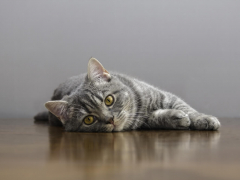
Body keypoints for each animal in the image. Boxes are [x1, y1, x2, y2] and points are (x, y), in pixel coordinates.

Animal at [33, 58, 219, 132]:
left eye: (109, 100)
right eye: (89, 119)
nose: (110, 120)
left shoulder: (165, 96)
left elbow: (186, 108)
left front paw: (203, 119)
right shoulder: (144, 121)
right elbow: (156, 118)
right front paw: (174, 118)